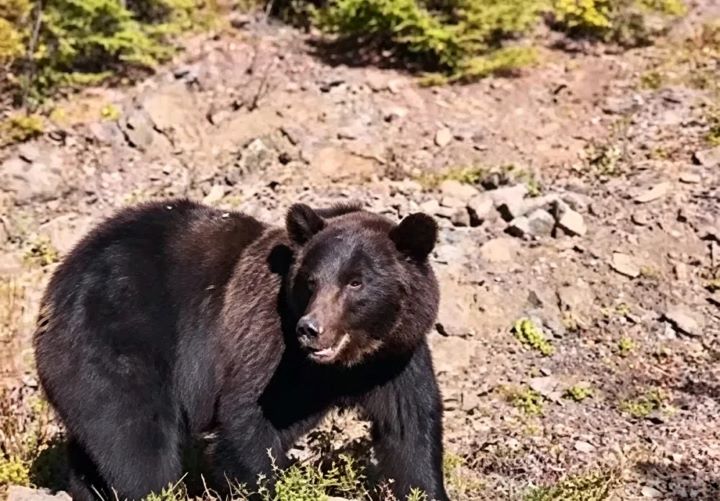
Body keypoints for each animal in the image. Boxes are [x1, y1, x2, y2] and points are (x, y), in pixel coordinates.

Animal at [33, 198, 449, 501]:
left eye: (355, 282)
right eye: (311, 281)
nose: (310, 329)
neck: (348, 365)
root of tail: (59, 281)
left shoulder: (395, 360)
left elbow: (410, 433)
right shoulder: (268, 347)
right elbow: (250, 425)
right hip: (117, 344)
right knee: (135, 441)